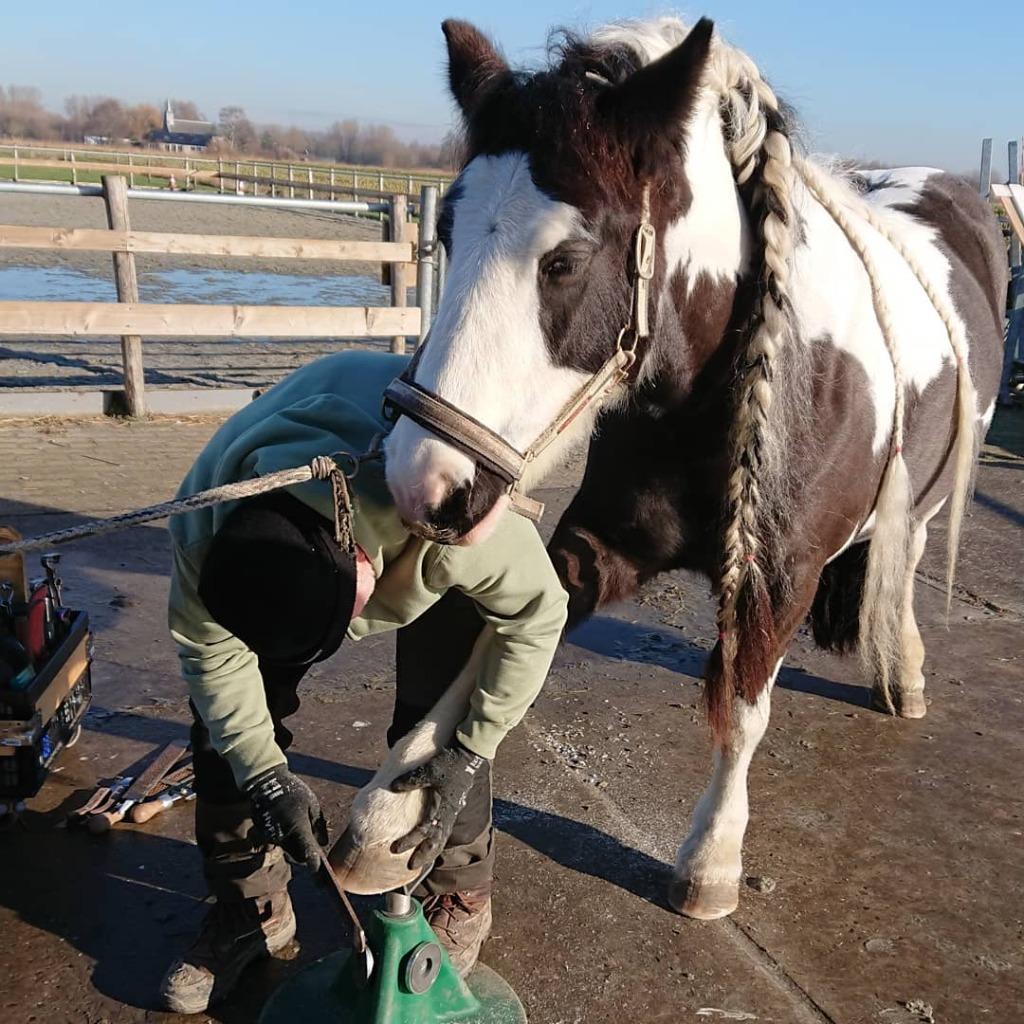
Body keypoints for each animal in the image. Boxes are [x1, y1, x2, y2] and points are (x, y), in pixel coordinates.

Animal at [333, 16, 1007, 920]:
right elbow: (491, 653)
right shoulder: (597, 545)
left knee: (902, 564)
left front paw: (713, 857)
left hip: (926, 504)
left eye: (565, 260)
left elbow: (746, 712)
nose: (423, 481)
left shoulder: (782, 576)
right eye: (446, 234)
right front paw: (390, 811)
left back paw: (902, 672)